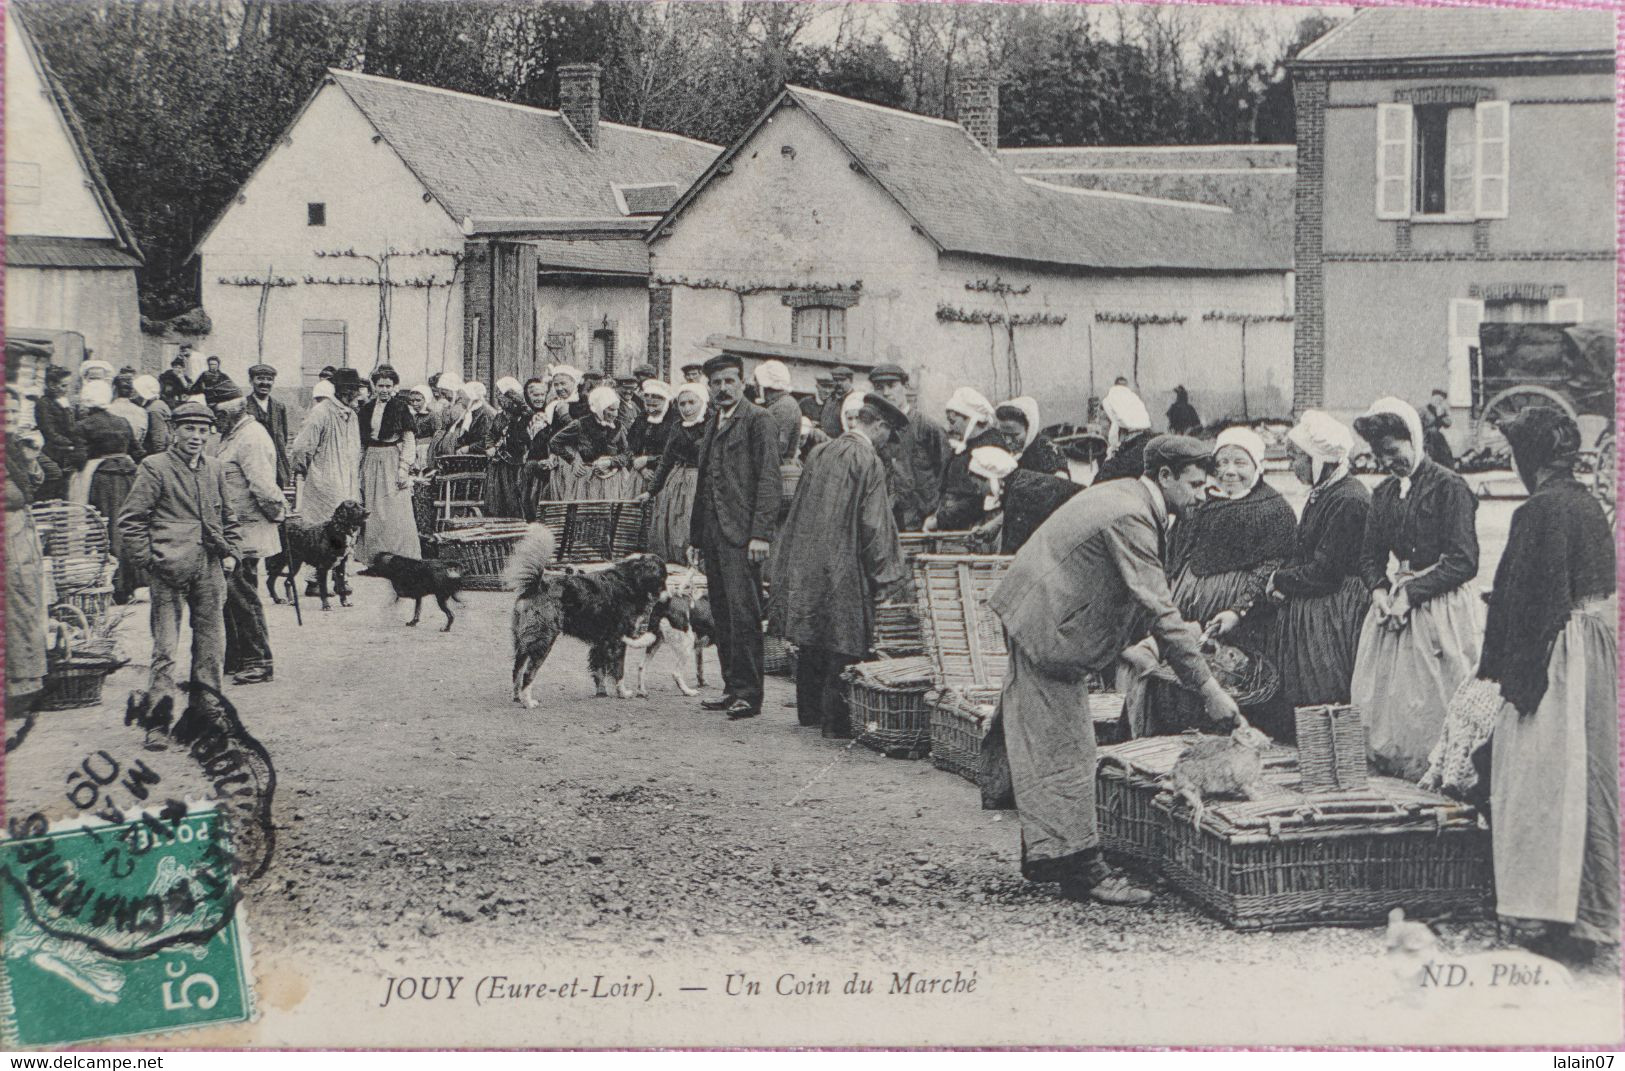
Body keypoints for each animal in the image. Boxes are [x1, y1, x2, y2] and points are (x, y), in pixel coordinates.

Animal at [503, 529, 663, 711]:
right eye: (663, 574)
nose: (665, 592)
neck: (629, 579)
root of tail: (535, 586)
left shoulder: (601, 643)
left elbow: (599, 670)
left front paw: (602, 692)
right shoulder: (618, 641)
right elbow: (618, 671)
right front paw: (623, 693)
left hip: (522, 643)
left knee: (516, 670)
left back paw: (517, 697)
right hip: (542, 642)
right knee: (528, 674)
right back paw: (528, 702)